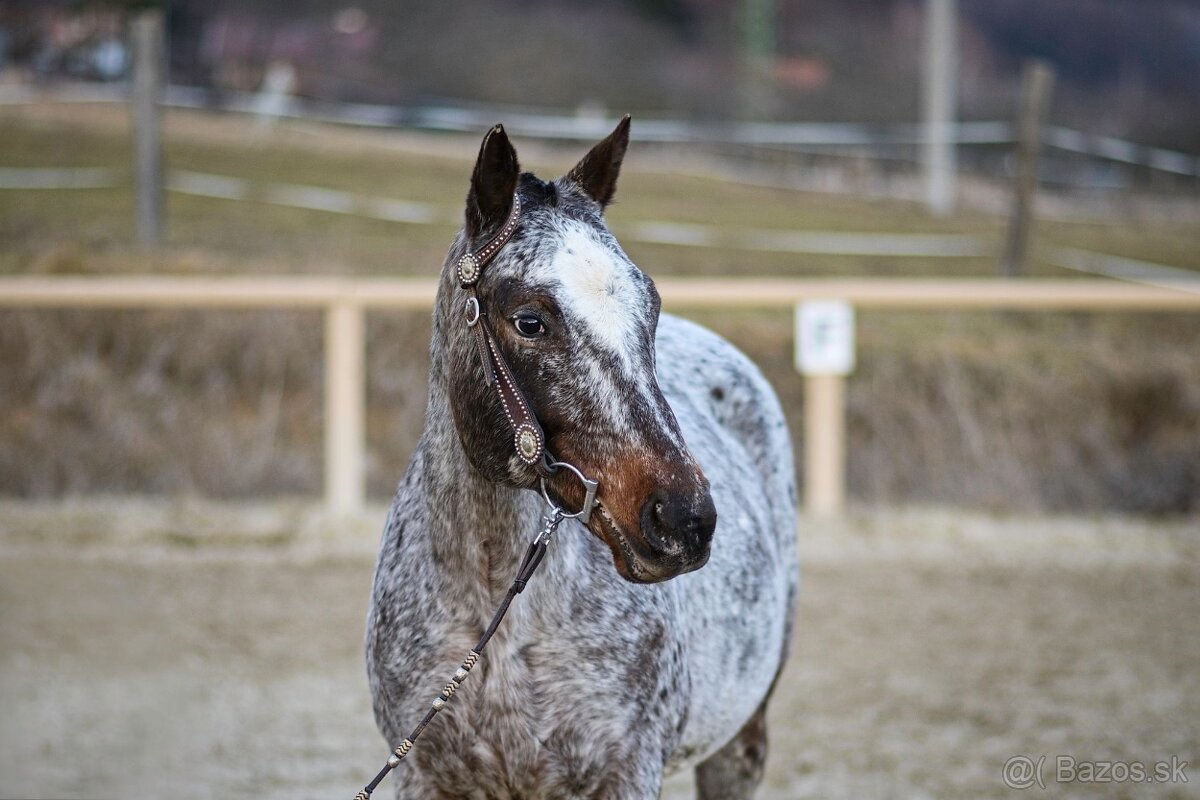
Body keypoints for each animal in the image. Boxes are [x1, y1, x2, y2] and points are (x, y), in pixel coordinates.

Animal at [364, 118, 796, 800]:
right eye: (529, 321)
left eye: (650, 307)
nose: (684, 520)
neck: (495, 616)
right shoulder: (422, 777)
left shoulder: (627, 773)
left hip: (740, 744)